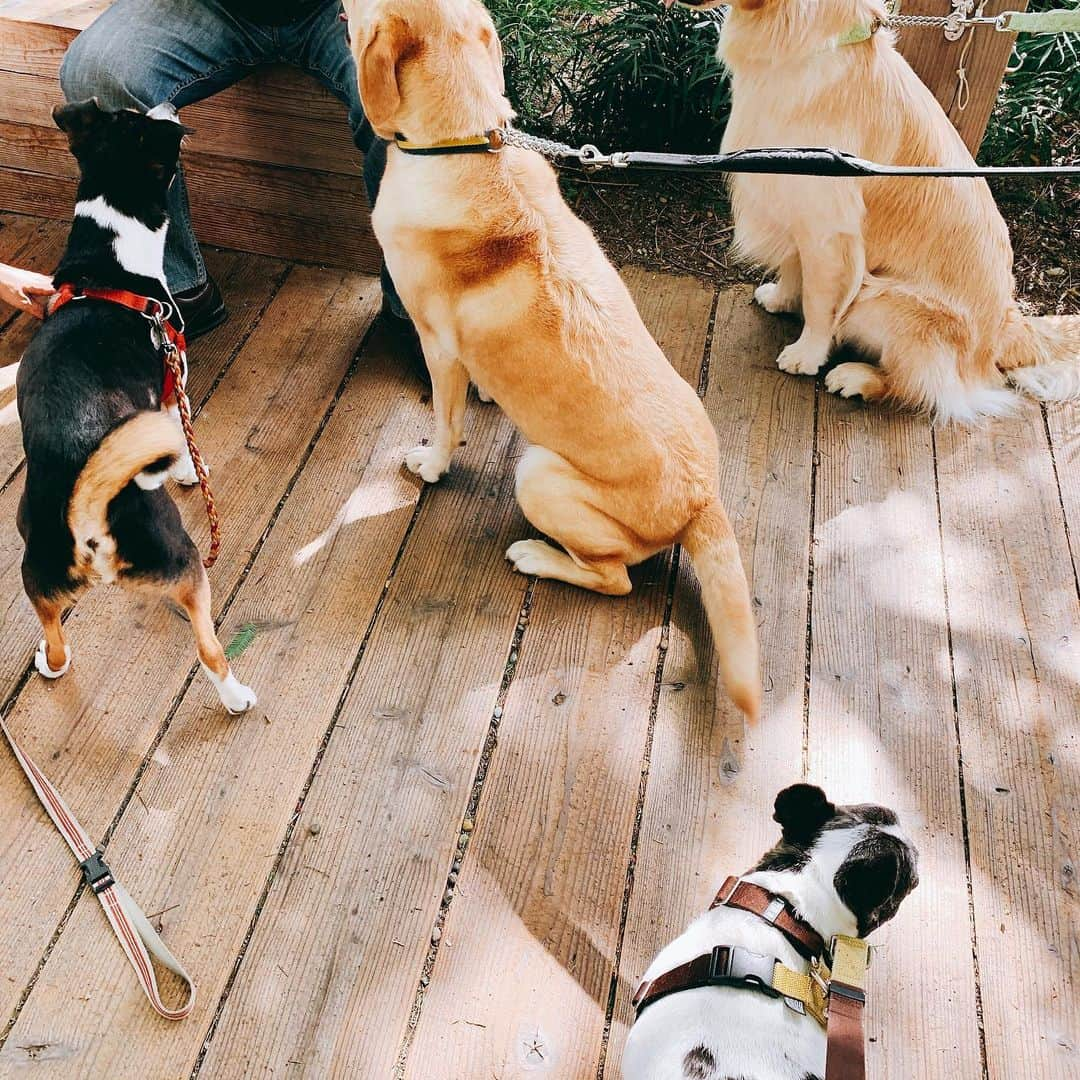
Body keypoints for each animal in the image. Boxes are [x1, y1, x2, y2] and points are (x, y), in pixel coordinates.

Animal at [16, 99, 254, 708]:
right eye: (144, 119)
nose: (167, 104)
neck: (108, 258)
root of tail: (87, 516)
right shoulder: (171, 383)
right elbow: (182, 434)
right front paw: (191, 473)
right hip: (187, 567)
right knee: (209, 648)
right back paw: (236, 695)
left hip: (37, 577)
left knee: (56, 640)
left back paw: (51, 663)